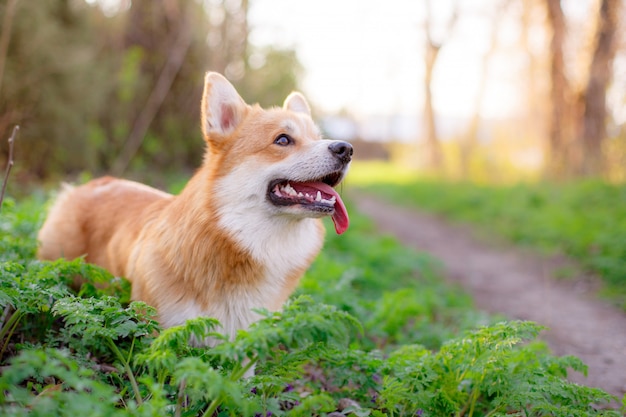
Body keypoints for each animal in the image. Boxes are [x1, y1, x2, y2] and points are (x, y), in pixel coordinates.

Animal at [36, 72, 352, 338]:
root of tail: (86, 185)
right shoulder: (159, 333)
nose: (346, 149)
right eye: (283, 140)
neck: (240, 241)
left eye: (317, 137)